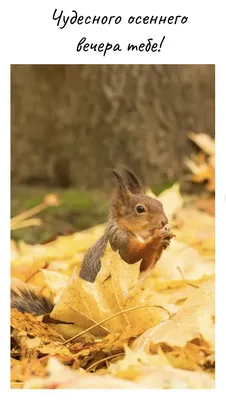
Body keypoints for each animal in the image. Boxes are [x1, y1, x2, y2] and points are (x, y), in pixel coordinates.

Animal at [10, 167, 174, 314]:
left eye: (159, 203)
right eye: (140, 209)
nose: (164, 221)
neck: (129, 230)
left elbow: (148, 266)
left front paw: (164, 241)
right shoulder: (120, 246)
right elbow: (138, 258)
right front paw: (157, 239)